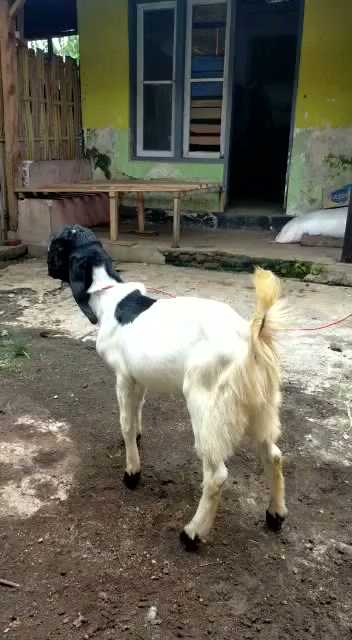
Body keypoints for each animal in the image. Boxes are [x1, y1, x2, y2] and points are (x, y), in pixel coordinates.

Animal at [48, 226, 288, 552]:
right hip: (262, 404)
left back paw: (192, 533)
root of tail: (251, 338)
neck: (109, 300)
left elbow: (125, 421)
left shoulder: (123, 375)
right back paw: (275, 514)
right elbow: (136, 411)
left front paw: (132, 473)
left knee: (216, 474)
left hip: (207, 402)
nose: (47, 268)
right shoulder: (138, 377)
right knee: (273, 454)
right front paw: (137, 438)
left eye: (56, 247)